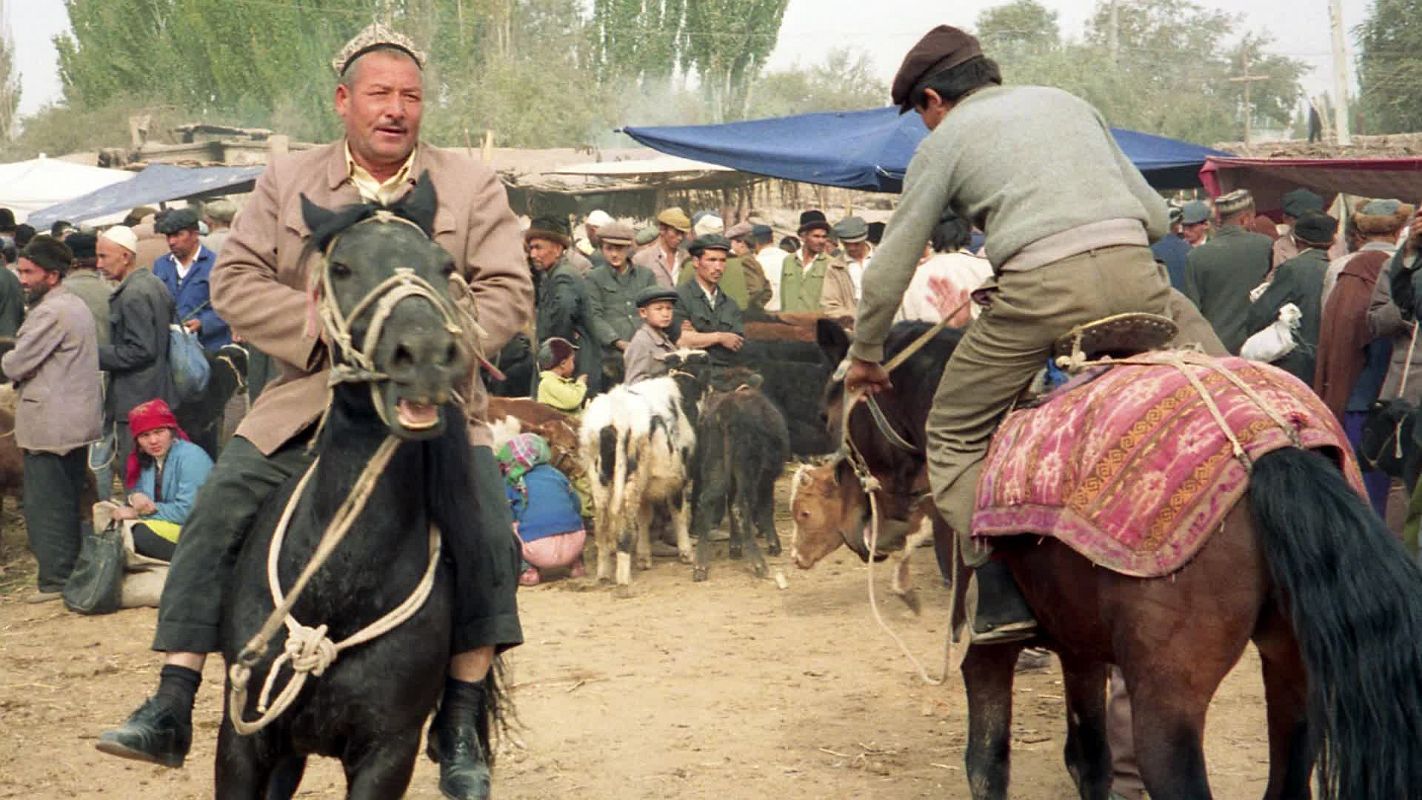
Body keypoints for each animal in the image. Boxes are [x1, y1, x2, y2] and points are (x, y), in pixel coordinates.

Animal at [819, 322, 1422, 800]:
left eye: (829, 417)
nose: (856, 528)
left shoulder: (988, 649)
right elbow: (1089, 760)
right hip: (1294, 676)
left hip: (1169, 705)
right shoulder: (1080, 646)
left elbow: (987, 763)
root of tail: (1274, 447)